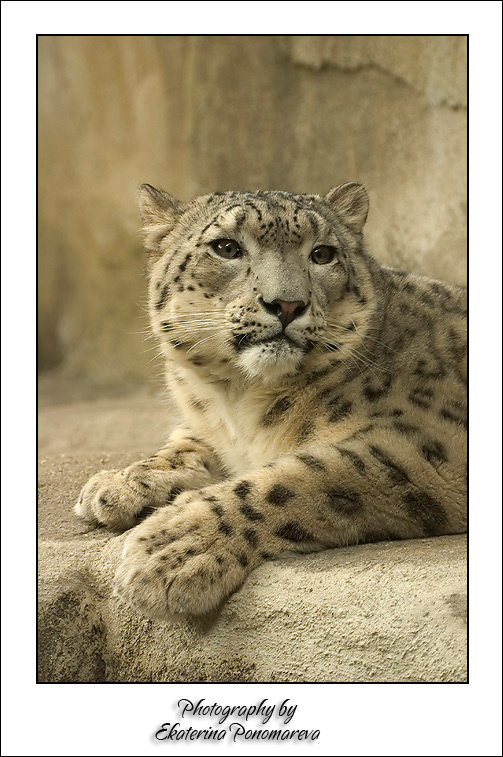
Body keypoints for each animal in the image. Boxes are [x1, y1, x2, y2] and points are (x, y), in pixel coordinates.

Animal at [75, 181, 467, 620]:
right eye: (227, 247)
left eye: (322, 254)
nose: (287, 304)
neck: (239, 399)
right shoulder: (213, 427)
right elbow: (185, 442)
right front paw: (119, 483)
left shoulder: (429, 445)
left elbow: (302, 478)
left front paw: (175, 546)